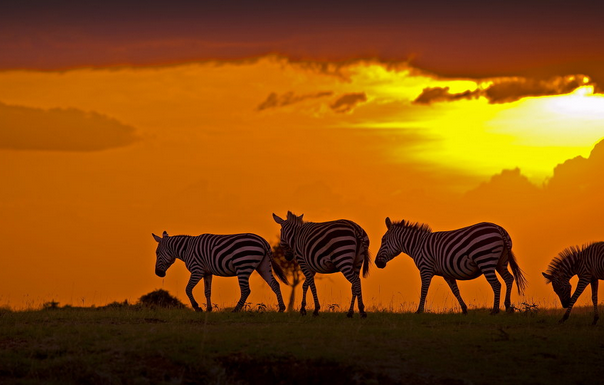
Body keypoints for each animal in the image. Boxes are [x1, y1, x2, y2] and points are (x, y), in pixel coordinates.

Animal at [153, 230, 290, 310]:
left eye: (157, 253)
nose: (158, 274)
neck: (187, 249)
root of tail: (262, 241)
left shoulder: (197, 270)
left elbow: (187, 289)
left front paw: (197, 307)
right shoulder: (207, 272)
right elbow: (207, 291)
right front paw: (208, 309)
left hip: (243, 266)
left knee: (246, 289)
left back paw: (236, 310)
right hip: (263, 265)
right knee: (275, 284)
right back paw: (282, 308)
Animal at [376, 218, 528, 314]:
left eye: (383, 240)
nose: (377, 263)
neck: (417, 245)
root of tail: (498, 228)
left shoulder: (425, 268)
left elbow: (424, 290)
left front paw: (419, 311)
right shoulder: (447, 273)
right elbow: (455, 291)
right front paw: (464, 309)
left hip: (485, 260)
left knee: (496, 284)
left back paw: (495, 310)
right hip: (501, 262)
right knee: (509, 279)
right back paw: (508, 307)